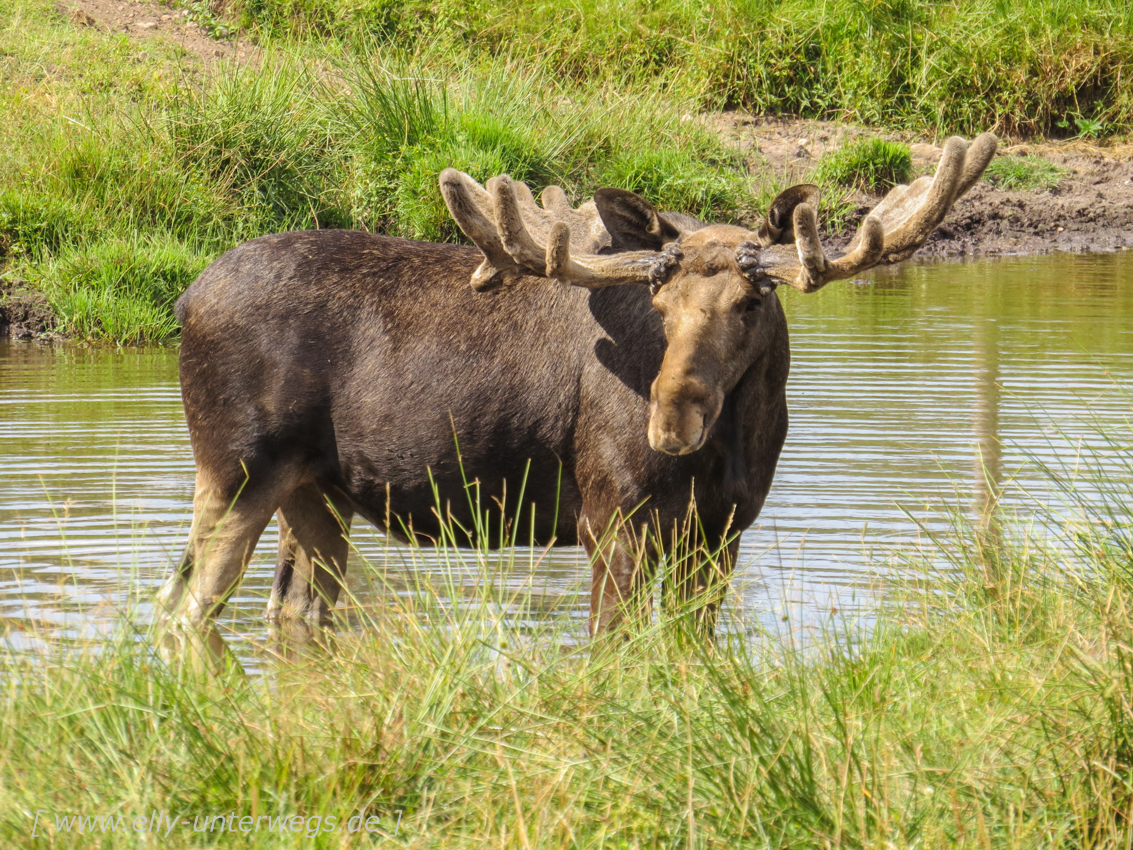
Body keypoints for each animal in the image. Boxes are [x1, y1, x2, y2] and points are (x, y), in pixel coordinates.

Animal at [157, 133, 992, 643]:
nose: (669, 420)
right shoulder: (610, 521)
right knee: (182, 605)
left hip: (318, 490)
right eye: (657, 300)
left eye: (751, 301)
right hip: (235, 469)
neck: (733, 446)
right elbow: (610, 648)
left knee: (289, 611)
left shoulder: (720, 532)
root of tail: (185, 300)